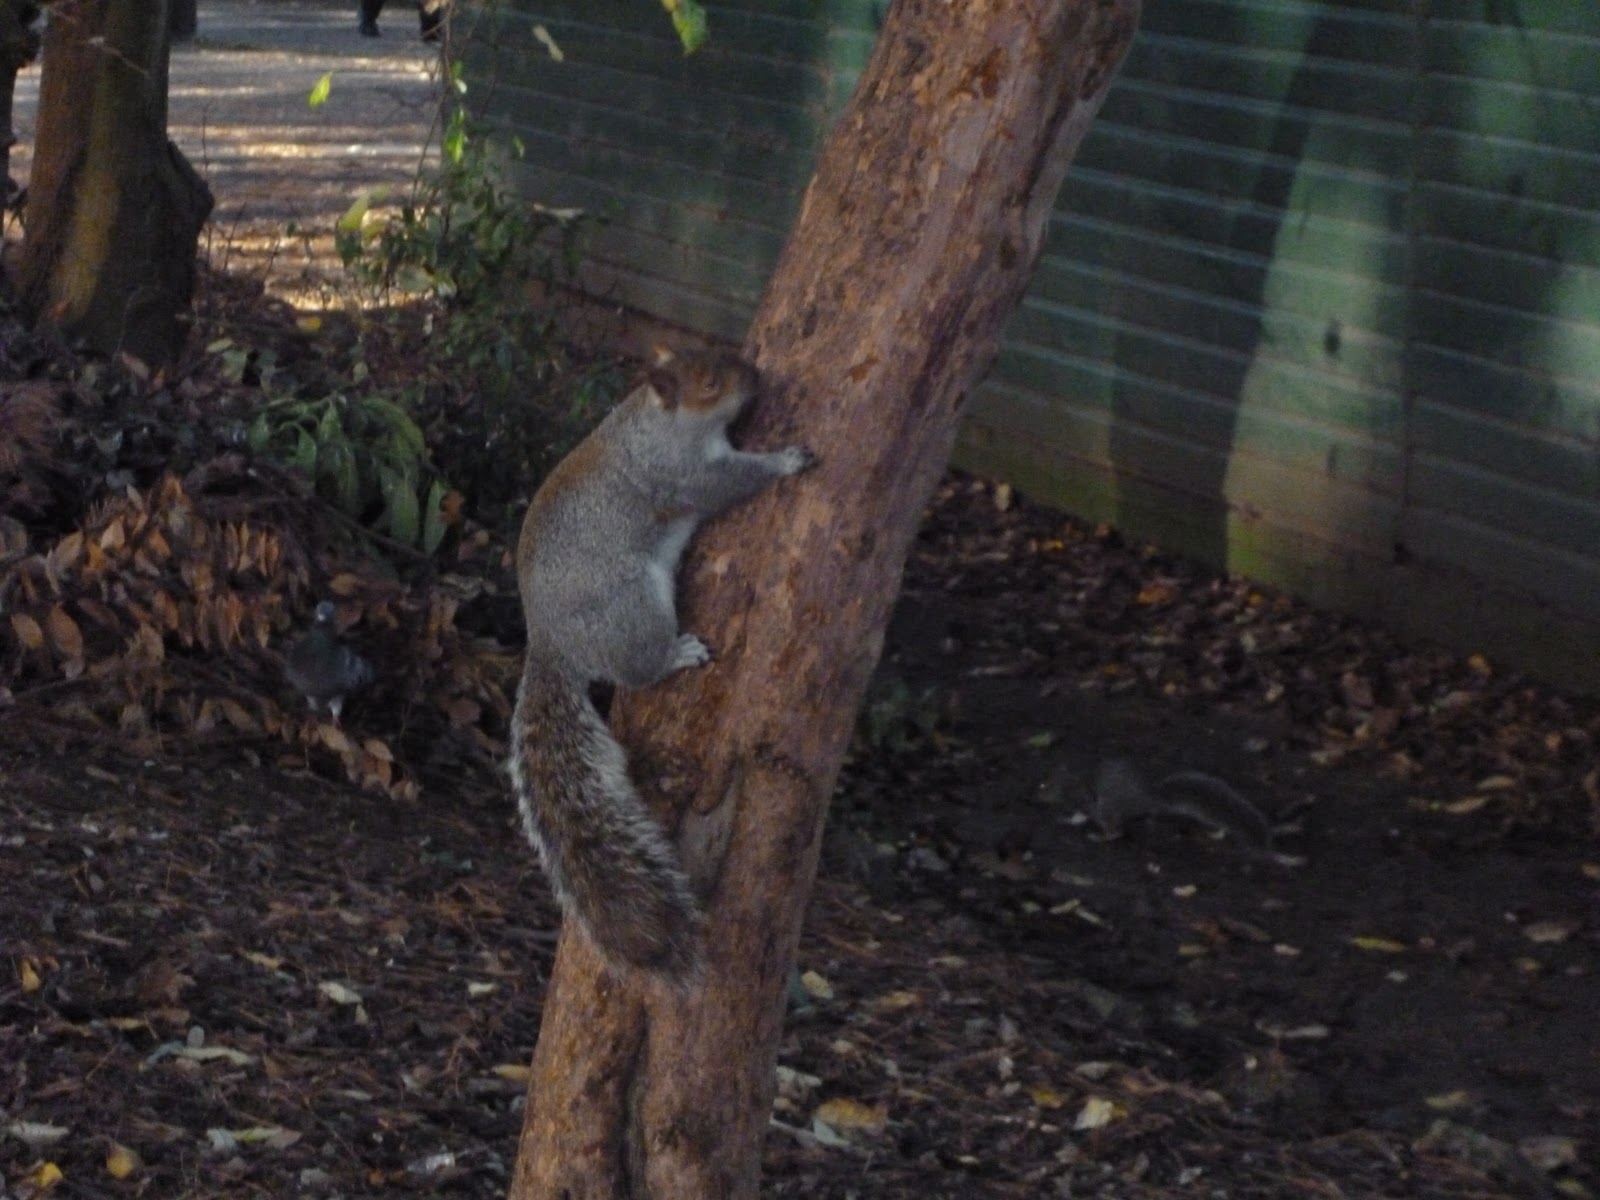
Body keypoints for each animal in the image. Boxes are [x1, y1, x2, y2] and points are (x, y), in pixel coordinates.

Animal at [508, 345, 814, 982]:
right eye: (710, 383)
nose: (756, 376)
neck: (653, 421)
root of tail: (552, 645)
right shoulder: (684, 474)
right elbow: (730, 482)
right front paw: (786, 460)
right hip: (633, 605)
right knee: (637, 670)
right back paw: (677, 654)